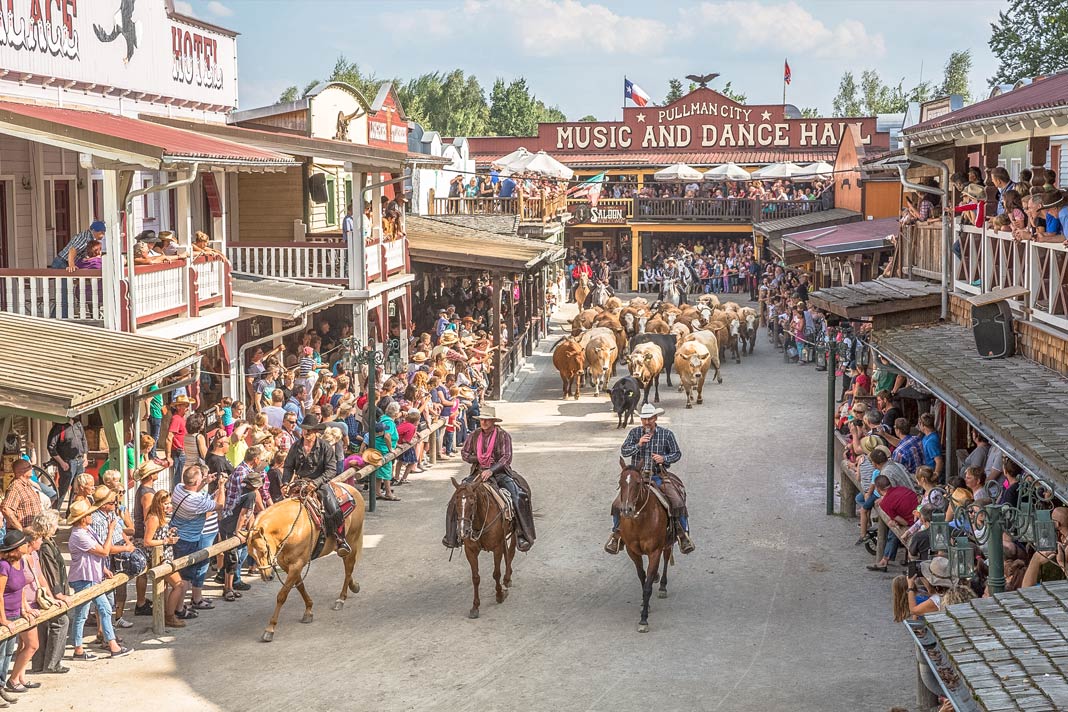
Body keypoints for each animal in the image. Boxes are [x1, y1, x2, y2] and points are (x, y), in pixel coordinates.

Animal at [246, 482, 367, 644]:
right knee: (348, 566)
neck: (291, 527)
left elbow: (282, 595)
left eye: (263, 551)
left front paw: (270, 629)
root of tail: (353, 490)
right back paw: (354, 586)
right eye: (251, 554)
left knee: (348, 569)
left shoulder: (297, 564)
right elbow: (300, 586)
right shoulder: (288, 565)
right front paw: (309, 610)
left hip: (352, 540)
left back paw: (341, 599)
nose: (267, 576)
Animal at [450, 476, 516, 619]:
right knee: (508, 553)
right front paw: (475, 607)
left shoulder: (497, 547)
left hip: (513, 532)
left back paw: (507, 579)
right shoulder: (470, 551)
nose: (463, 531)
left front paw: (500, 595)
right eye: (455, 503)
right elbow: (475, 578)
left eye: (472, 503)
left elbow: (496, 573)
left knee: (511, 552)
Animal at [615, 463, 670, 636]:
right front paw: (644, 606)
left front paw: (643, 620)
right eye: (620, 482)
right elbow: (642, 577)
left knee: (667, 557)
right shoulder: (632, 551)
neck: (640, 520)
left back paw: (662, 586)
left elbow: (647, 586)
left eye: (638, 483)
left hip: (668, 543)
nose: (627, 510)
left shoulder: (655, 552)